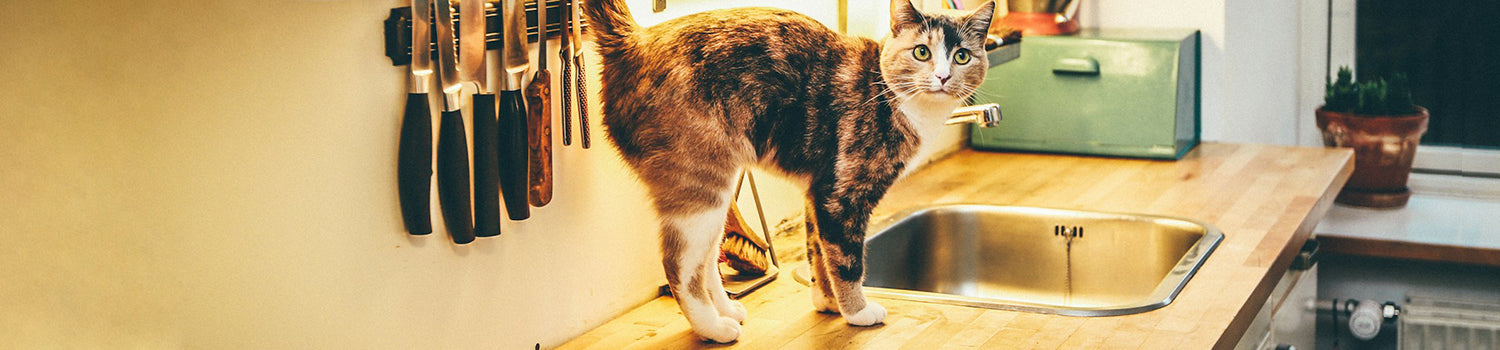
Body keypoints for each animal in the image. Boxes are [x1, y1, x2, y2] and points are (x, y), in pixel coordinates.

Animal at [585, 0, 996, 342]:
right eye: (922, 52)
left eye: (962, 56)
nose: (943, 77)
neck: (896, 100)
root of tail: (634, 41)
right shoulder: (843, 196)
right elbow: (846, 262)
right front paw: (858, 312)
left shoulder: (818, 191)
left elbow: (818, 253)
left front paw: (828, 303)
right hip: (700, 185)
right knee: (679, 267)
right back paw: (714, 328)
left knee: (706, 260)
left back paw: (726, 310)